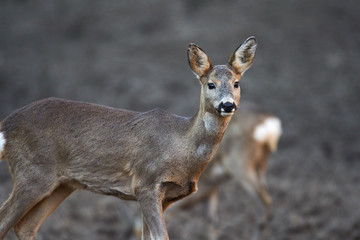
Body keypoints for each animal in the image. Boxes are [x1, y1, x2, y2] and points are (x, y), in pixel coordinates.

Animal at [0, 36, 258, 239]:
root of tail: (6, 125)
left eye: (236, 83)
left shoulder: (164, 197)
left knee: (25, 226)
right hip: (32, 172)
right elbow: (160, 236)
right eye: (211, 84)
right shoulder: (146, 183)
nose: (227, 105)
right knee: (5, 220)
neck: (181, 145)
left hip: (62, 183)